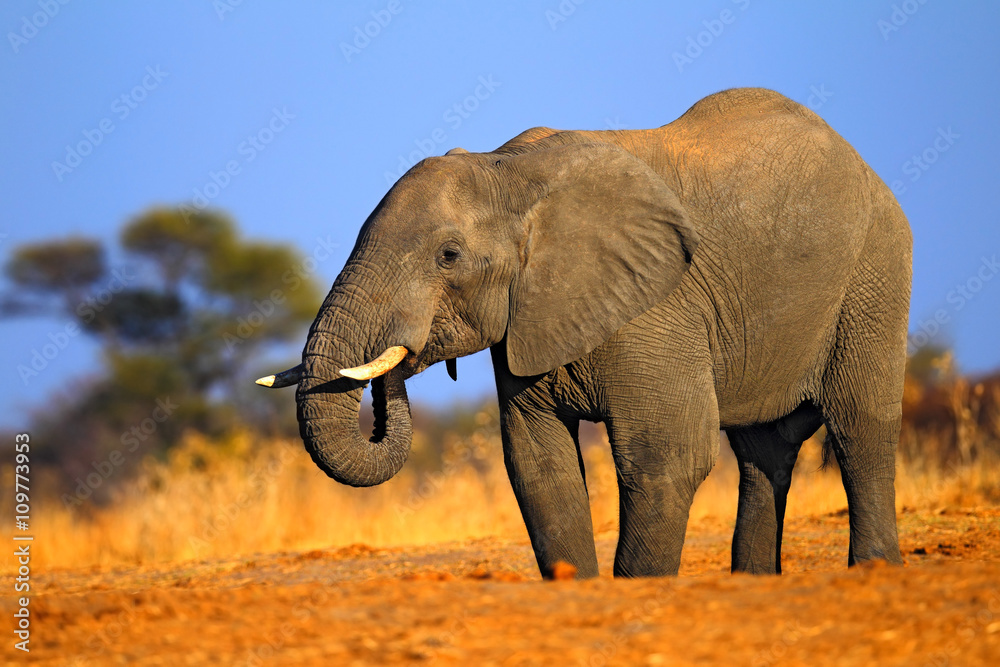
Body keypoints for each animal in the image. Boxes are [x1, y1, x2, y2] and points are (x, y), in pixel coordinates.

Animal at [258, 88, 911, 579]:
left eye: (449, 256)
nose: (399, 363)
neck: (508, 171)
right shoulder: (524, 323)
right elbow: (538, 464)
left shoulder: (658, 302)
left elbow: (666, 453)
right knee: (763, 448)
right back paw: (753, 584)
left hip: (875, 270)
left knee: (860, 428)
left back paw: (874, 571)